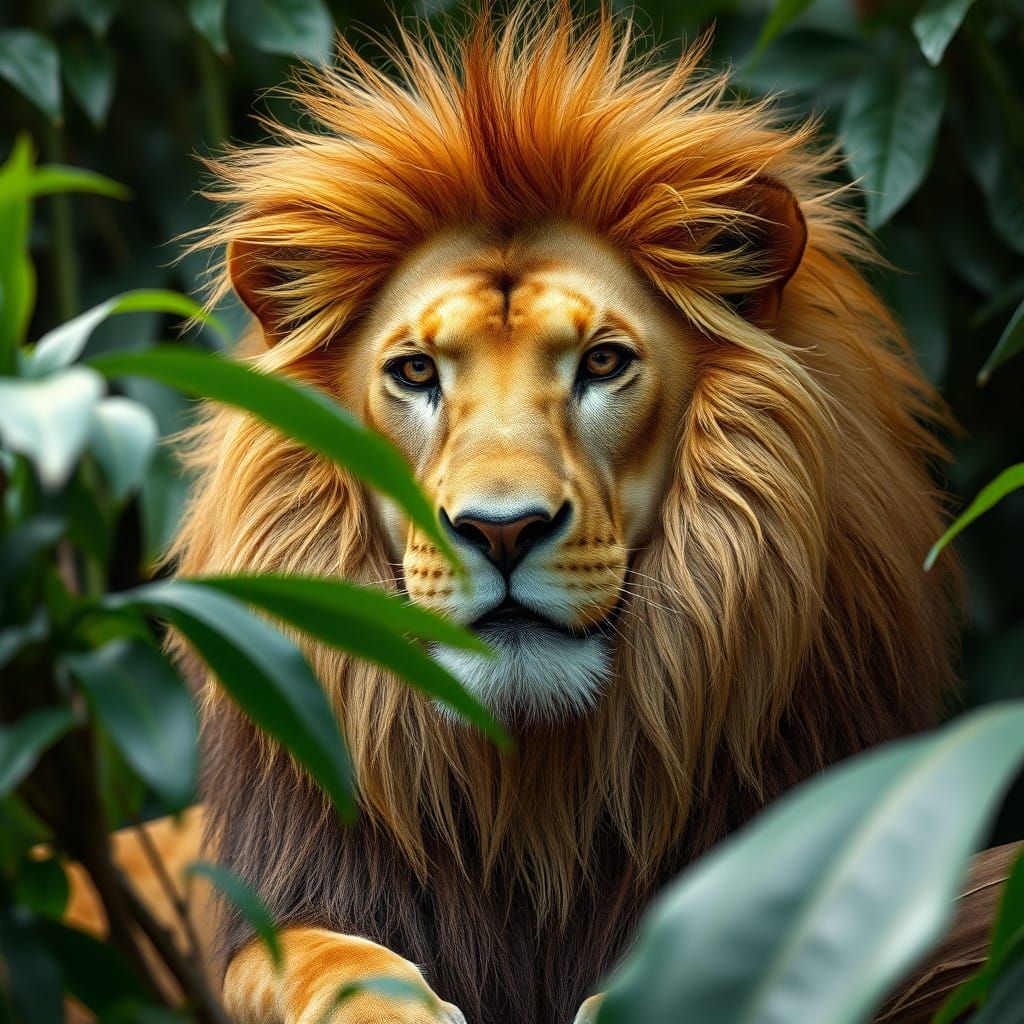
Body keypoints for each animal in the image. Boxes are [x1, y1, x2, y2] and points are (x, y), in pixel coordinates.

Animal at [78, 7, 967, 1024]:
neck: (533, 799)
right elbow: (320, 960)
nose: (501, 530)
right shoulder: (281, 900)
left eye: (604, 363)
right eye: (415, 372)